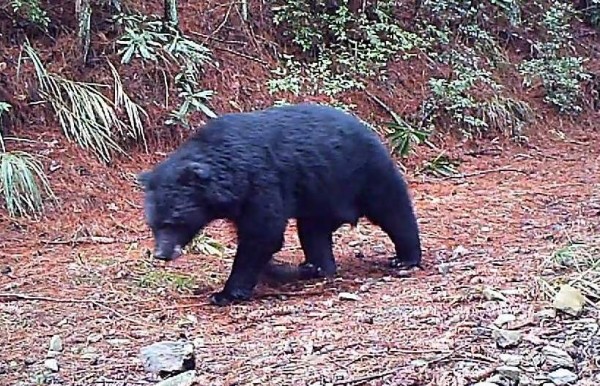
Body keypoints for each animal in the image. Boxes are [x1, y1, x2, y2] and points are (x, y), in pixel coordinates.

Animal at [138, 102, 422, 304]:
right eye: (153, 225)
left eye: (173, 222)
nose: (162, 254)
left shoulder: (261, 182)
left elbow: (263, 233)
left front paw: (226, 292)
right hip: (319, 196)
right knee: (313, 232)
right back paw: (314, 267)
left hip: (364, 173)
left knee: (393, 209)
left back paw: (405, 258)